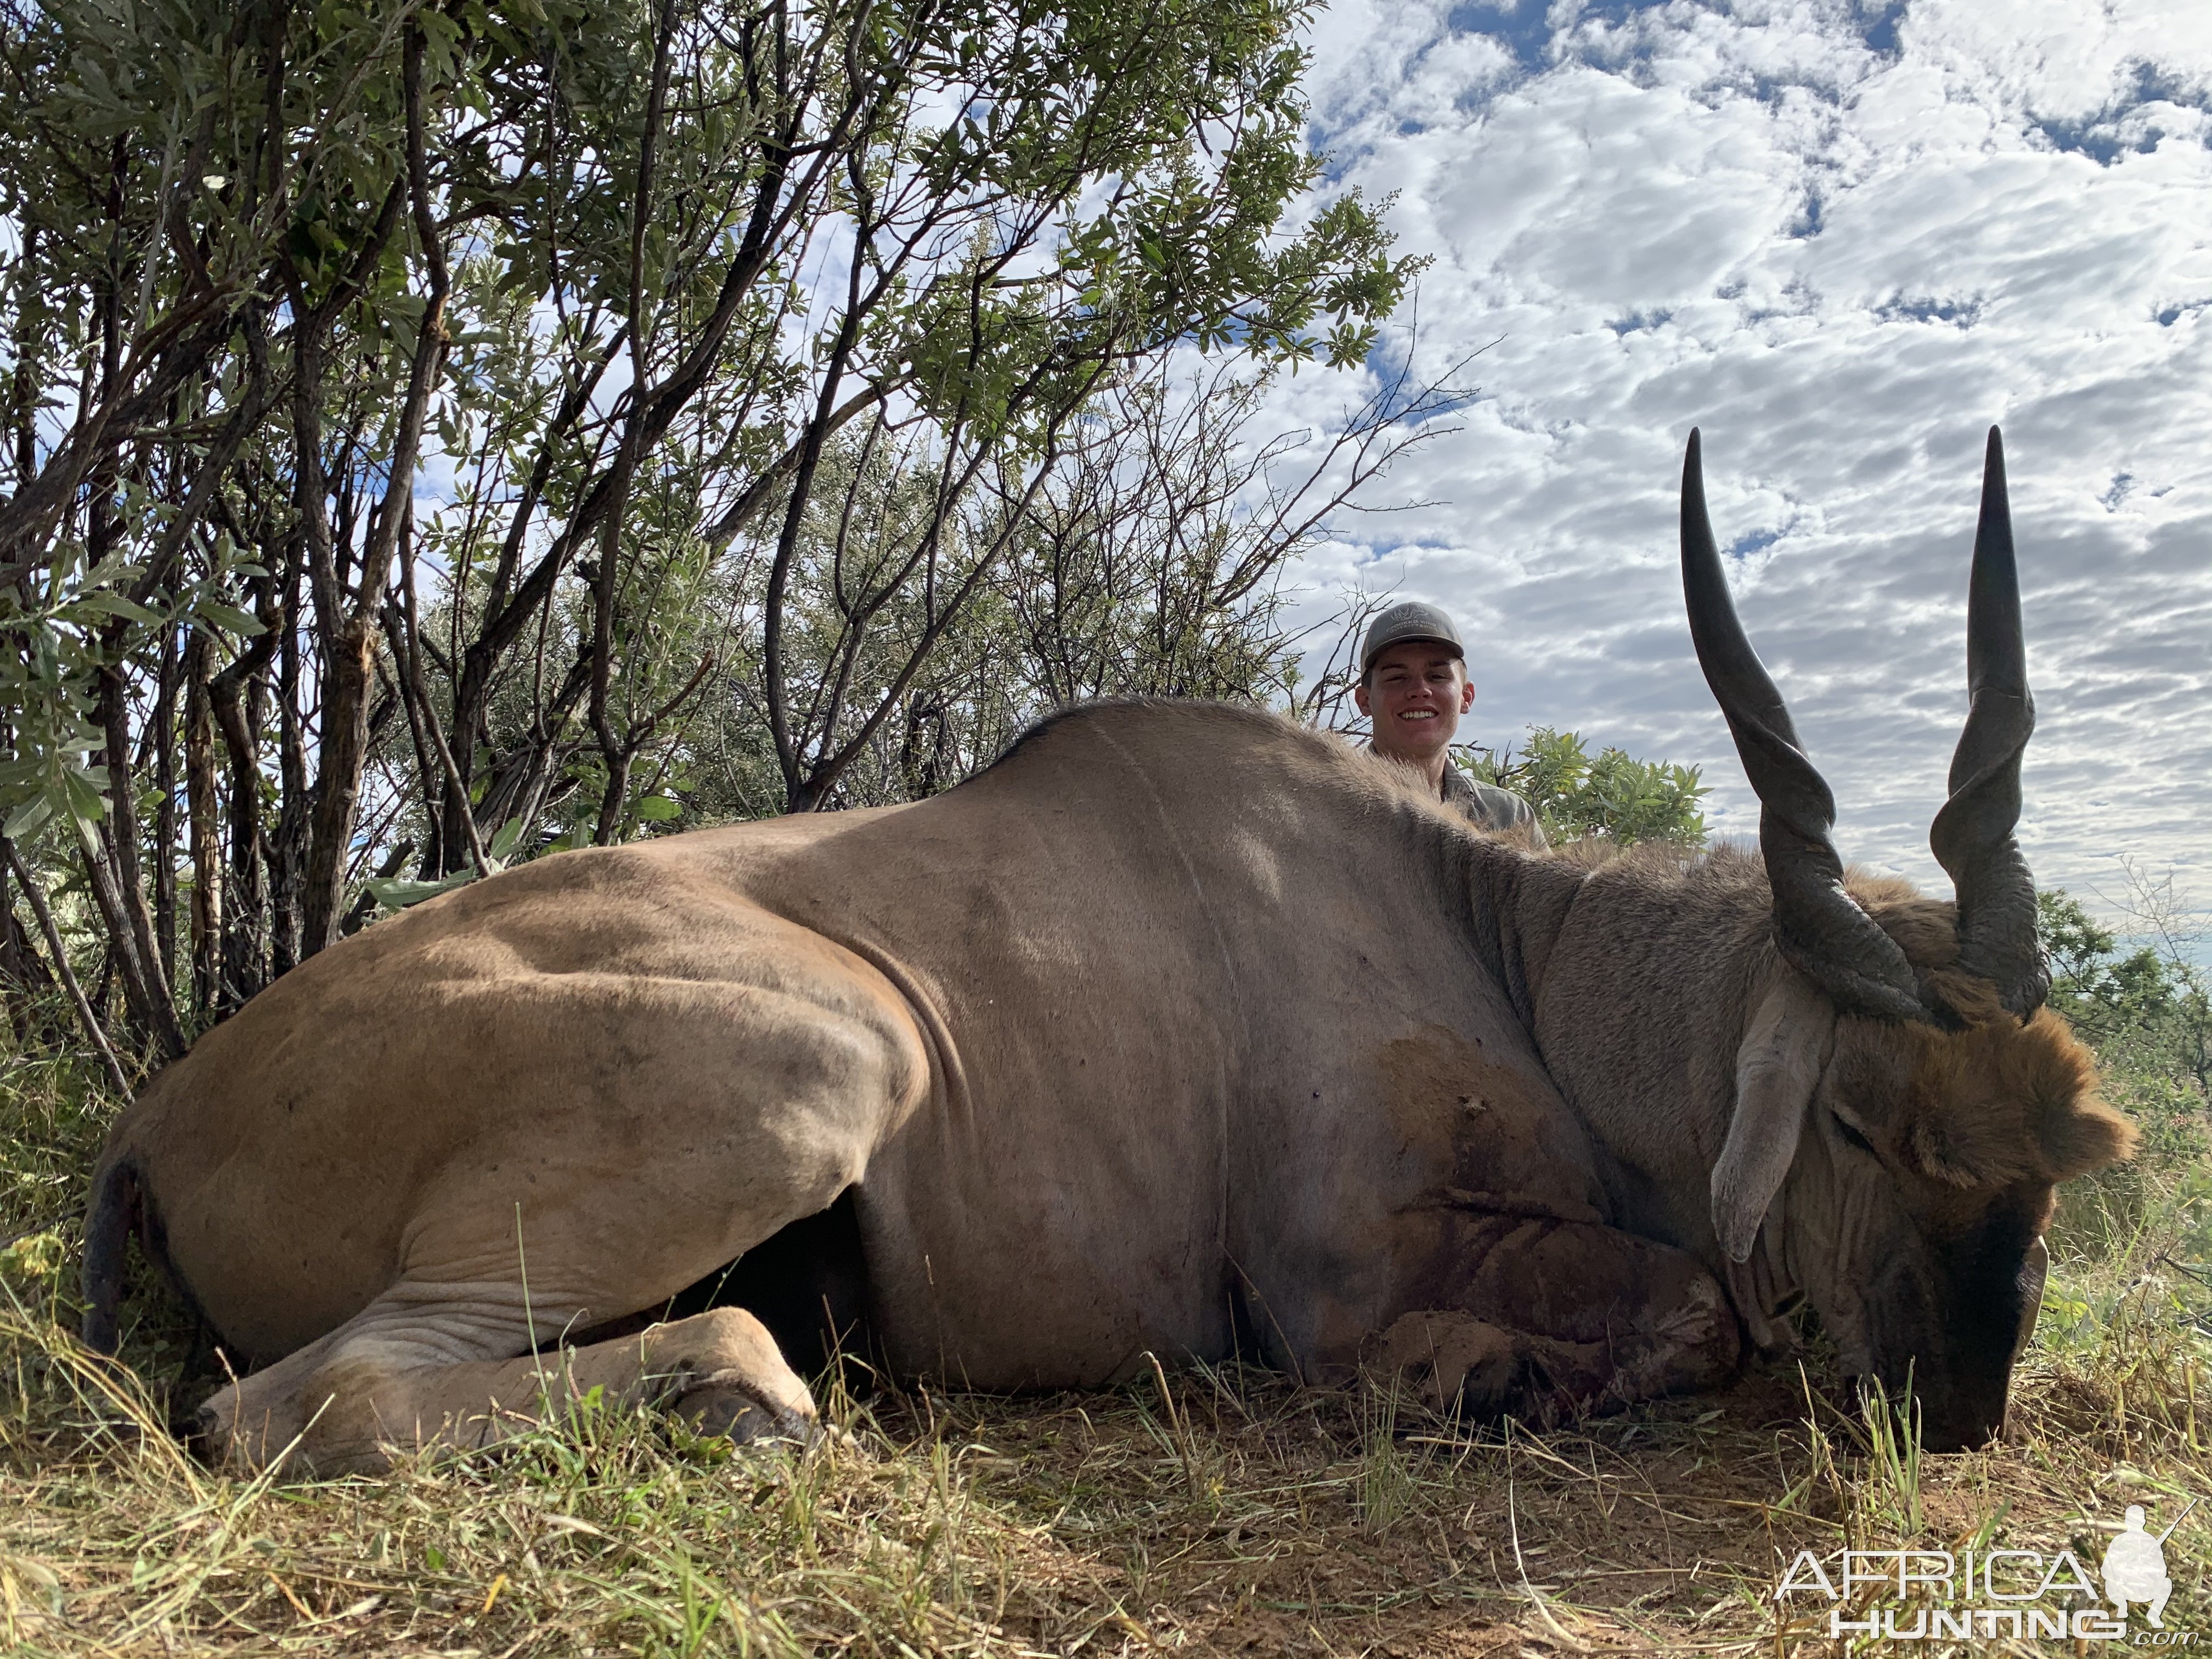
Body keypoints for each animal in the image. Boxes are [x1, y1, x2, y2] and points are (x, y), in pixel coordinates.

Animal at [82, 425, 2123, 1469]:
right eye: (1853, 1122)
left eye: (2053, 1160)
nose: (1961, 1410)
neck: (1506, 941)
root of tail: (161, 1119)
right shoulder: (1330, 1263)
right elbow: (1678, 1308)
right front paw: (1485, 1378)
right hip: (834, 1058)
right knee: (296, 1396)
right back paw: (737, 1397)